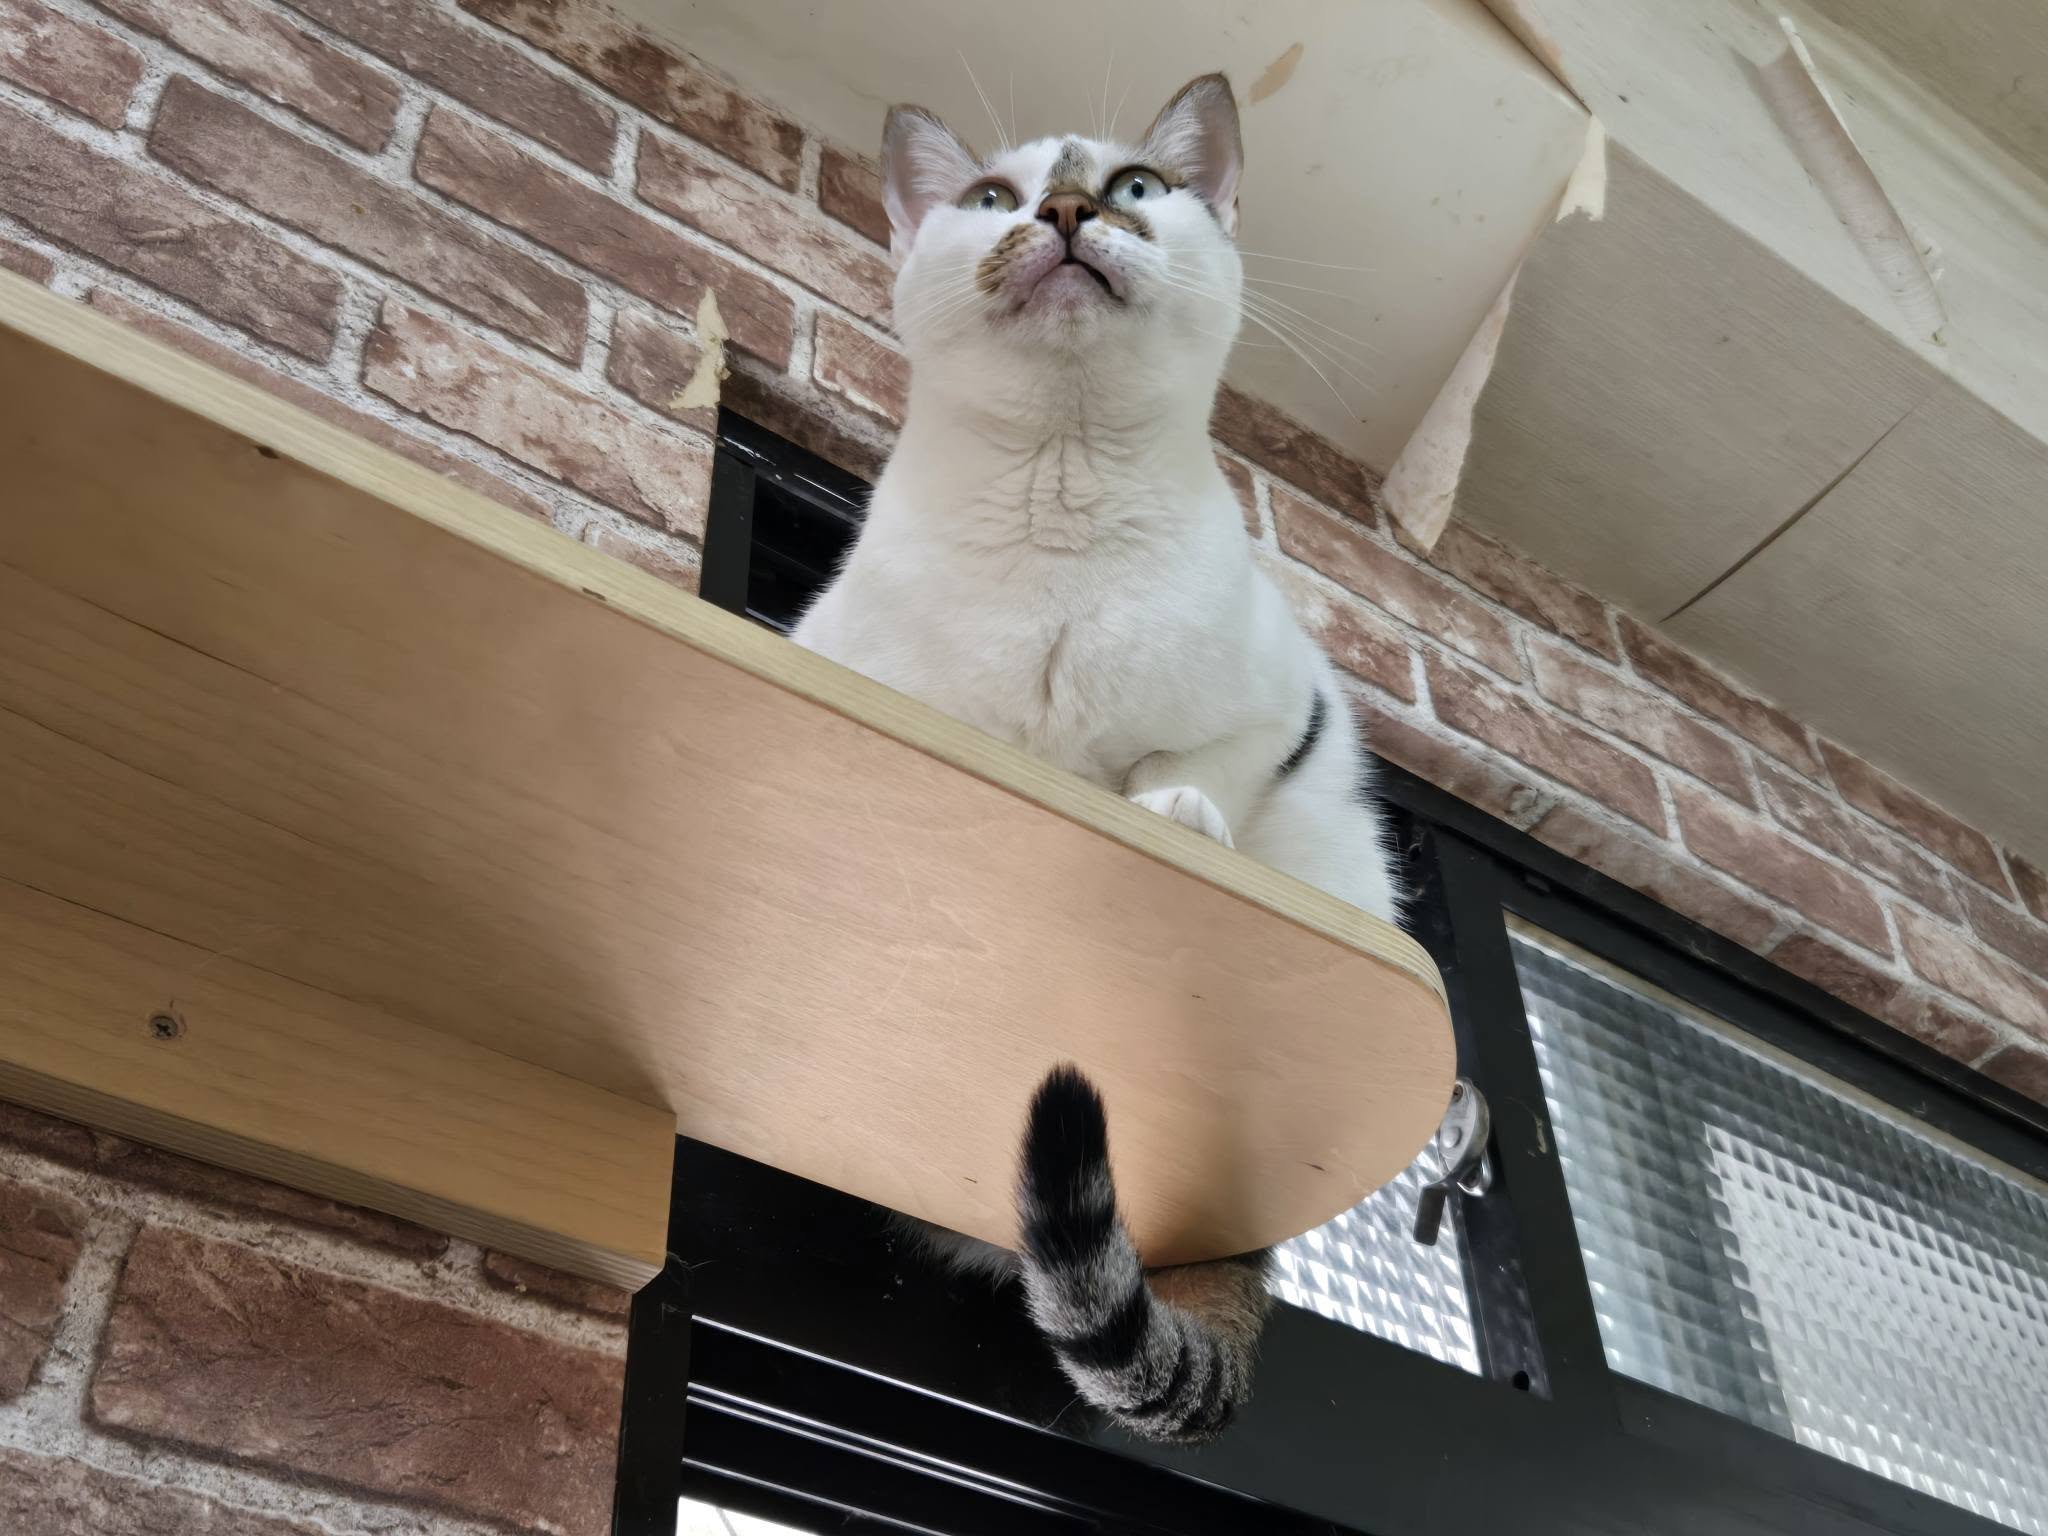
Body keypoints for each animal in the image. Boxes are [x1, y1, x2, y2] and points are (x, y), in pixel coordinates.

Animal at [790, 74, 1400, 1443]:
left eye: (1133, 187)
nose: (1067, 212)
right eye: (990, 199)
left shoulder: (1276, 704)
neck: (1060, 488)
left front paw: (1171, 807)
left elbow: (1190, 765)